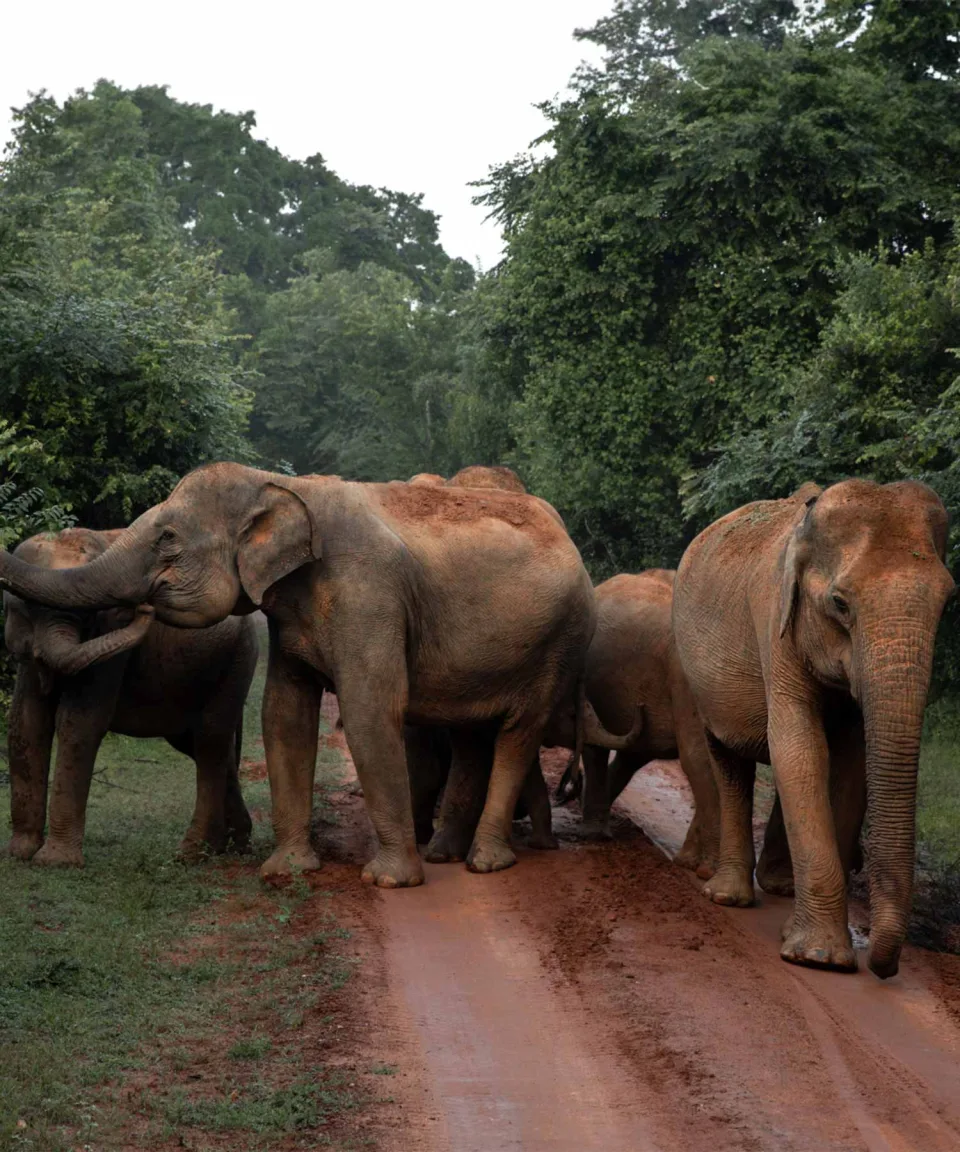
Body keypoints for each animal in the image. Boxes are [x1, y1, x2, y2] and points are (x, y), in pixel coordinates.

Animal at [4, 527, 258, 867]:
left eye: (86, 618)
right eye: (25, 611)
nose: (145, 607)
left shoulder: (111, 640)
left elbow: (78, 722)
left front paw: (55, 862)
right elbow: (26, 722)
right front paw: (19, 853)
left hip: (236, 660)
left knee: (209, 742)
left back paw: (192, 853)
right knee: (200, 744)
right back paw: (232, 846)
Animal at [556, 569, 720, 878]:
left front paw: (692, 866)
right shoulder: (688, 680)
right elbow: (700, 758)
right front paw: (701, 870)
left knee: (631, 756)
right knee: (599, 749)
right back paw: (594, 831)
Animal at [672, 480, 954, 978]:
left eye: (949, 602)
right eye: (840, 604)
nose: (885, 969)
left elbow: (849, 763)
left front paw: (805, 942)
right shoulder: (773, 620)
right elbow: (800, 748)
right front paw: (819, 958)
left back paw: (780, 887)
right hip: (698, 678)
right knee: (729, 761)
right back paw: (729, 896)